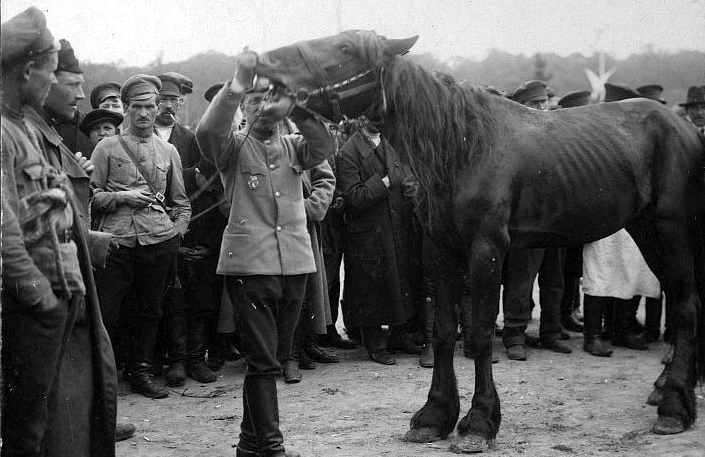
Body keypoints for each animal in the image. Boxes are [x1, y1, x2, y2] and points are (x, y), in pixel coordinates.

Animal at [253, 30, 704, 450]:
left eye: (345, 49)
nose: (266, 64)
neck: (462, 147)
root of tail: (687, 130)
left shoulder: (487, 248)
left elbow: (482, 333)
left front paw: (480, 422)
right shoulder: (442, 248)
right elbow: (443, 331)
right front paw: (434, 415)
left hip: (671, 231)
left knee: (686, 307)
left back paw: (673, 407)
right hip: (647, 232)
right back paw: (669, 392)